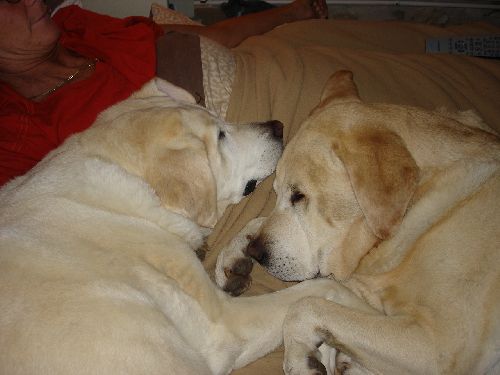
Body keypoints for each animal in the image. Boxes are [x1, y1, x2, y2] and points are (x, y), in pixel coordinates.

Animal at [0, 78, 340, 374]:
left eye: (220, 119)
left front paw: (239, 256)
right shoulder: (225, 323)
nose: (278, 127)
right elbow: (314, 291)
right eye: (221, 136)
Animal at [216, 71, 500, 375]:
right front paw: (236, 252)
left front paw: (300, 358)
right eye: (276, 192)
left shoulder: (440, 347)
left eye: (299, 196)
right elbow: (317, 290)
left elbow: (305, 307)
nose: (257, 253)